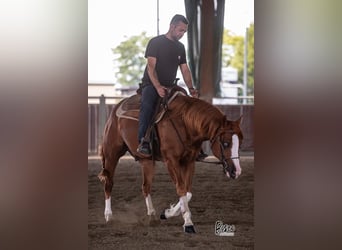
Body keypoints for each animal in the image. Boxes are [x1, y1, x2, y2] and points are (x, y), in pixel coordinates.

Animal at [98, 89, 243, 233]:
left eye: (240, 143)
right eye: (225, 143)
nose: (236, 171)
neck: (185, 123)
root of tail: (115, 109)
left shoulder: (189, 161)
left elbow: (187, 192)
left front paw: (167, 213)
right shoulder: (171, 161)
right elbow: (181, 188)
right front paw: (188, 223)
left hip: (146, 161)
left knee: (146, 187)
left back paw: (152, 215)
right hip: (112, 154)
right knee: (109, 183)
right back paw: (109, 216)